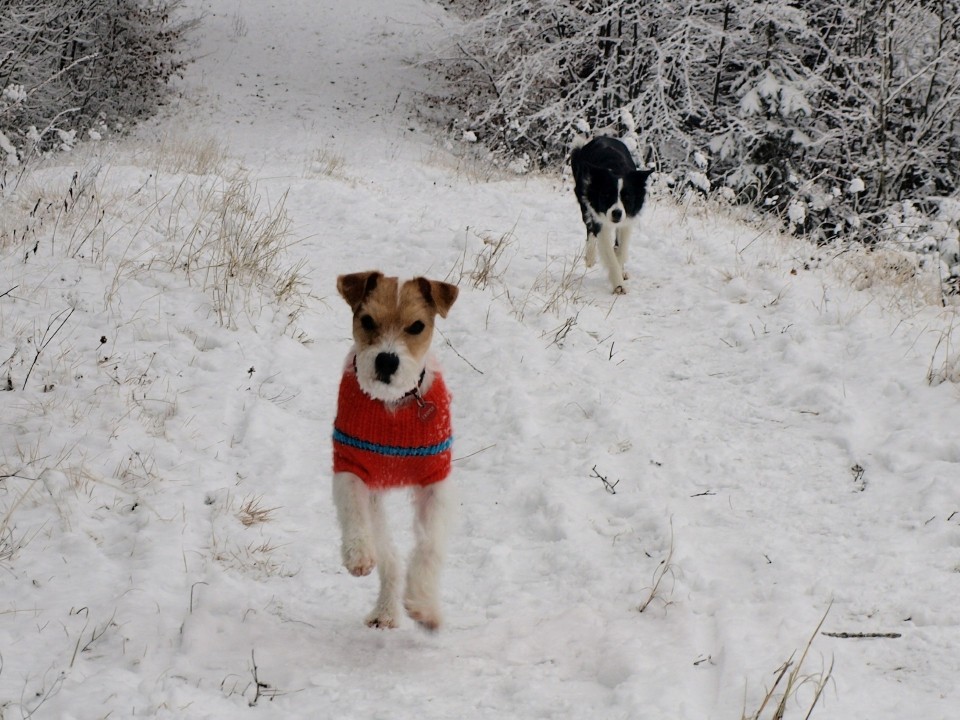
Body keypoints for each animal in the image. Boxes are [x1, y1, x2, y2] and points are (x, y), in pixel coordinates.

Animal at [332, 270, 460, 632]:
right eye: (367, 320)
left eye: (417, 326)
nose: (387, 360)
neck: (393, 405)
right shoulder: (351, 465)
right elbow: (353, 511)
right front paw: (358, 555)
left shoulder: (435, 479)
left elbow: (429, 544)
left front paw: (424, 605)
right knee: (389, 556)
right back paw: (385, 608)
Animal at [568, 136, 652, 294]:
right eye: (607, 195)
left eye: (627, 197)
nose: (616, 213)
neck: (615, 169)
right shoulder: (600, 219)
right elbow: (608, 252)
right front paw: (618, 285)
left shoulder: (627, 220)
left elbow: (621, 249)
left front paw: (620, 269)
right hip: (584, 202)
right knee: (589, 229)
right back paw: (590, 258)